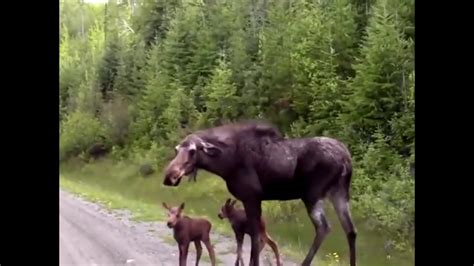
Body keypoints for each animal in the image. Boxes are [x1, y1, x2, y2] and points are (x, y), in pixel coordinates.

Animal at [163, 121, 356, 266]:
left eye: (193, 151)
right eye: (176, 150)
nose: (169, 177)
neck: (226, 164)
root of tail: (346, 158)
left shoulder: (251, 197)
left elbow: (255, 240)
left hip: (312, 194)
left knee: (324, 227)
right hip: (339, 193)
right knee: (351, 230)